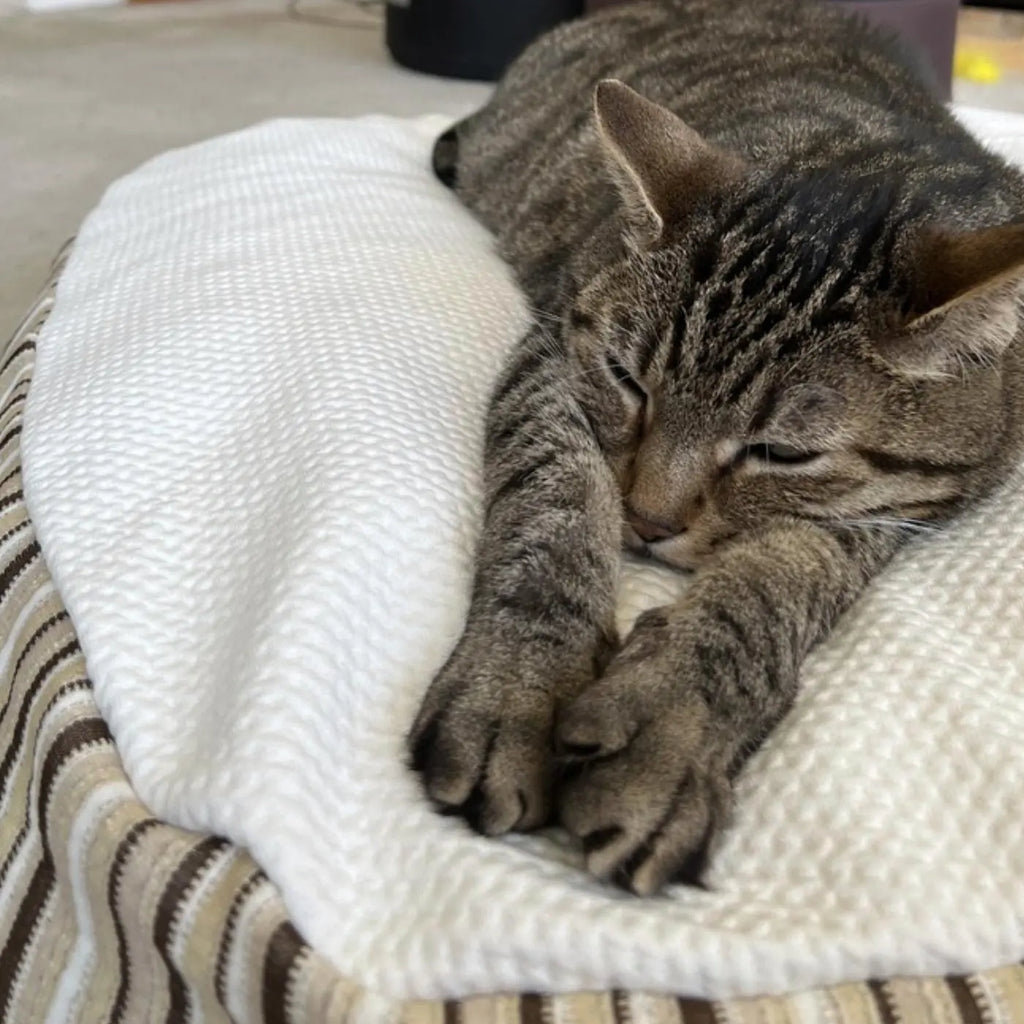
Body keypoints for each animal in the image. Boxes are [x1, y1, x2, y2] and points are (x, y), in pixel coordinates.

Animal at [405, 0, 1024, 897]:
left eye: (782, 453)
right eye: (628, 381)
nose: (646, 522)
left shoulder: (893, 509)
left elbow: (774, 580)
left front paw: (671, 721)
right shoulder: (553, 349)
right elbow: (554, 504)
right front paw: (520, 680)